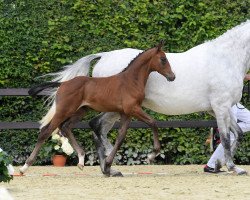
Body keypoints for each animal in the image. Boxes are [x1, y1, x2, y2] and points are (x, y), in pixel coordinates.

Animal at [20, 42, 175, 177]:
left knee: (66, 127)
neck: (130, 81)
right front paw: (152, 155)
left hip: (81, 110)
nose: (172, 76)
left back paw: (81, 160)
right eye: (163, 59)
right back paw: (24, 167)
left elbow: (120, 137)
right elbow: (153, 122)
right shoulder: (134, 109)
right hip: (64, 110)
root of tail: (63, 83)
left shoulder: (126, 113)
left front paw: (108, 164)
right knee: (46, 131)